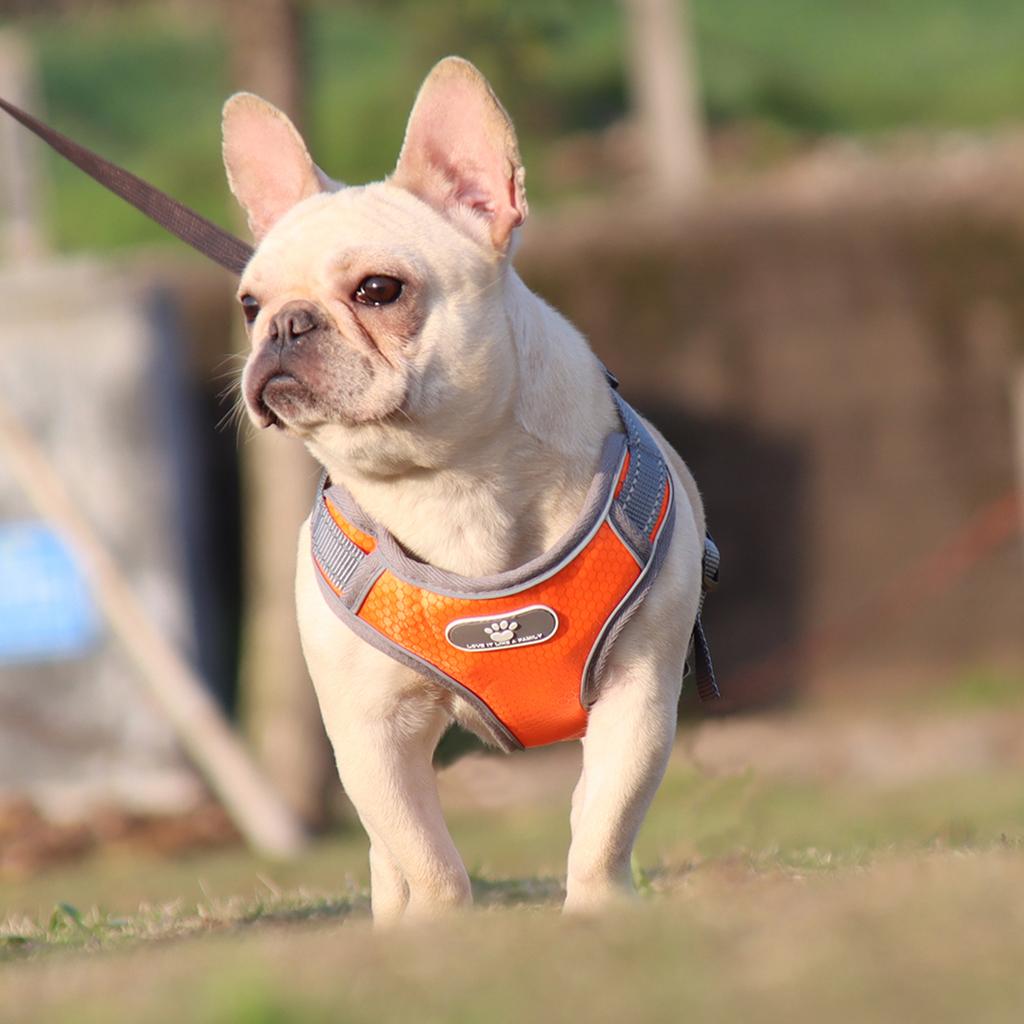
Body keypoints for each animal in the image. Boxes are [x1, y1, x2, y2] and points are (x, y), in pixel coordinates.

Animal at [222, 56, 704, 925]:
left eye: (379, 290)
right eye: (250, 305)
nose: (285, 325)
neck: (454, 481)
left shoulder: (640, 697)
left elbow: (605, 824)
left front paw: (596, 915)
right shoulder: (372, 734)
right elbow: (426, 855)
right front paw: (441, 931)